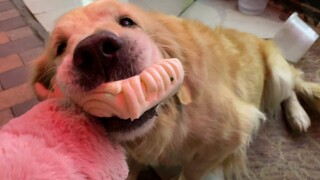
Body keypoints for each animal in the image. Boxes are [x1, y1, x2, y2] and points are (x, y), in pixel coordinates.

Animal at [31, 0, 320, 179]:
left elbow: (192, 171)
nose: (96, 50)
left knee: (292, 86)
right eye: (60, 47)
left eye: (127, 22)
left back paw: (298, 116)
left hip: (279, 75)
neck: (163, 123)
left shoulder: (232, 133)